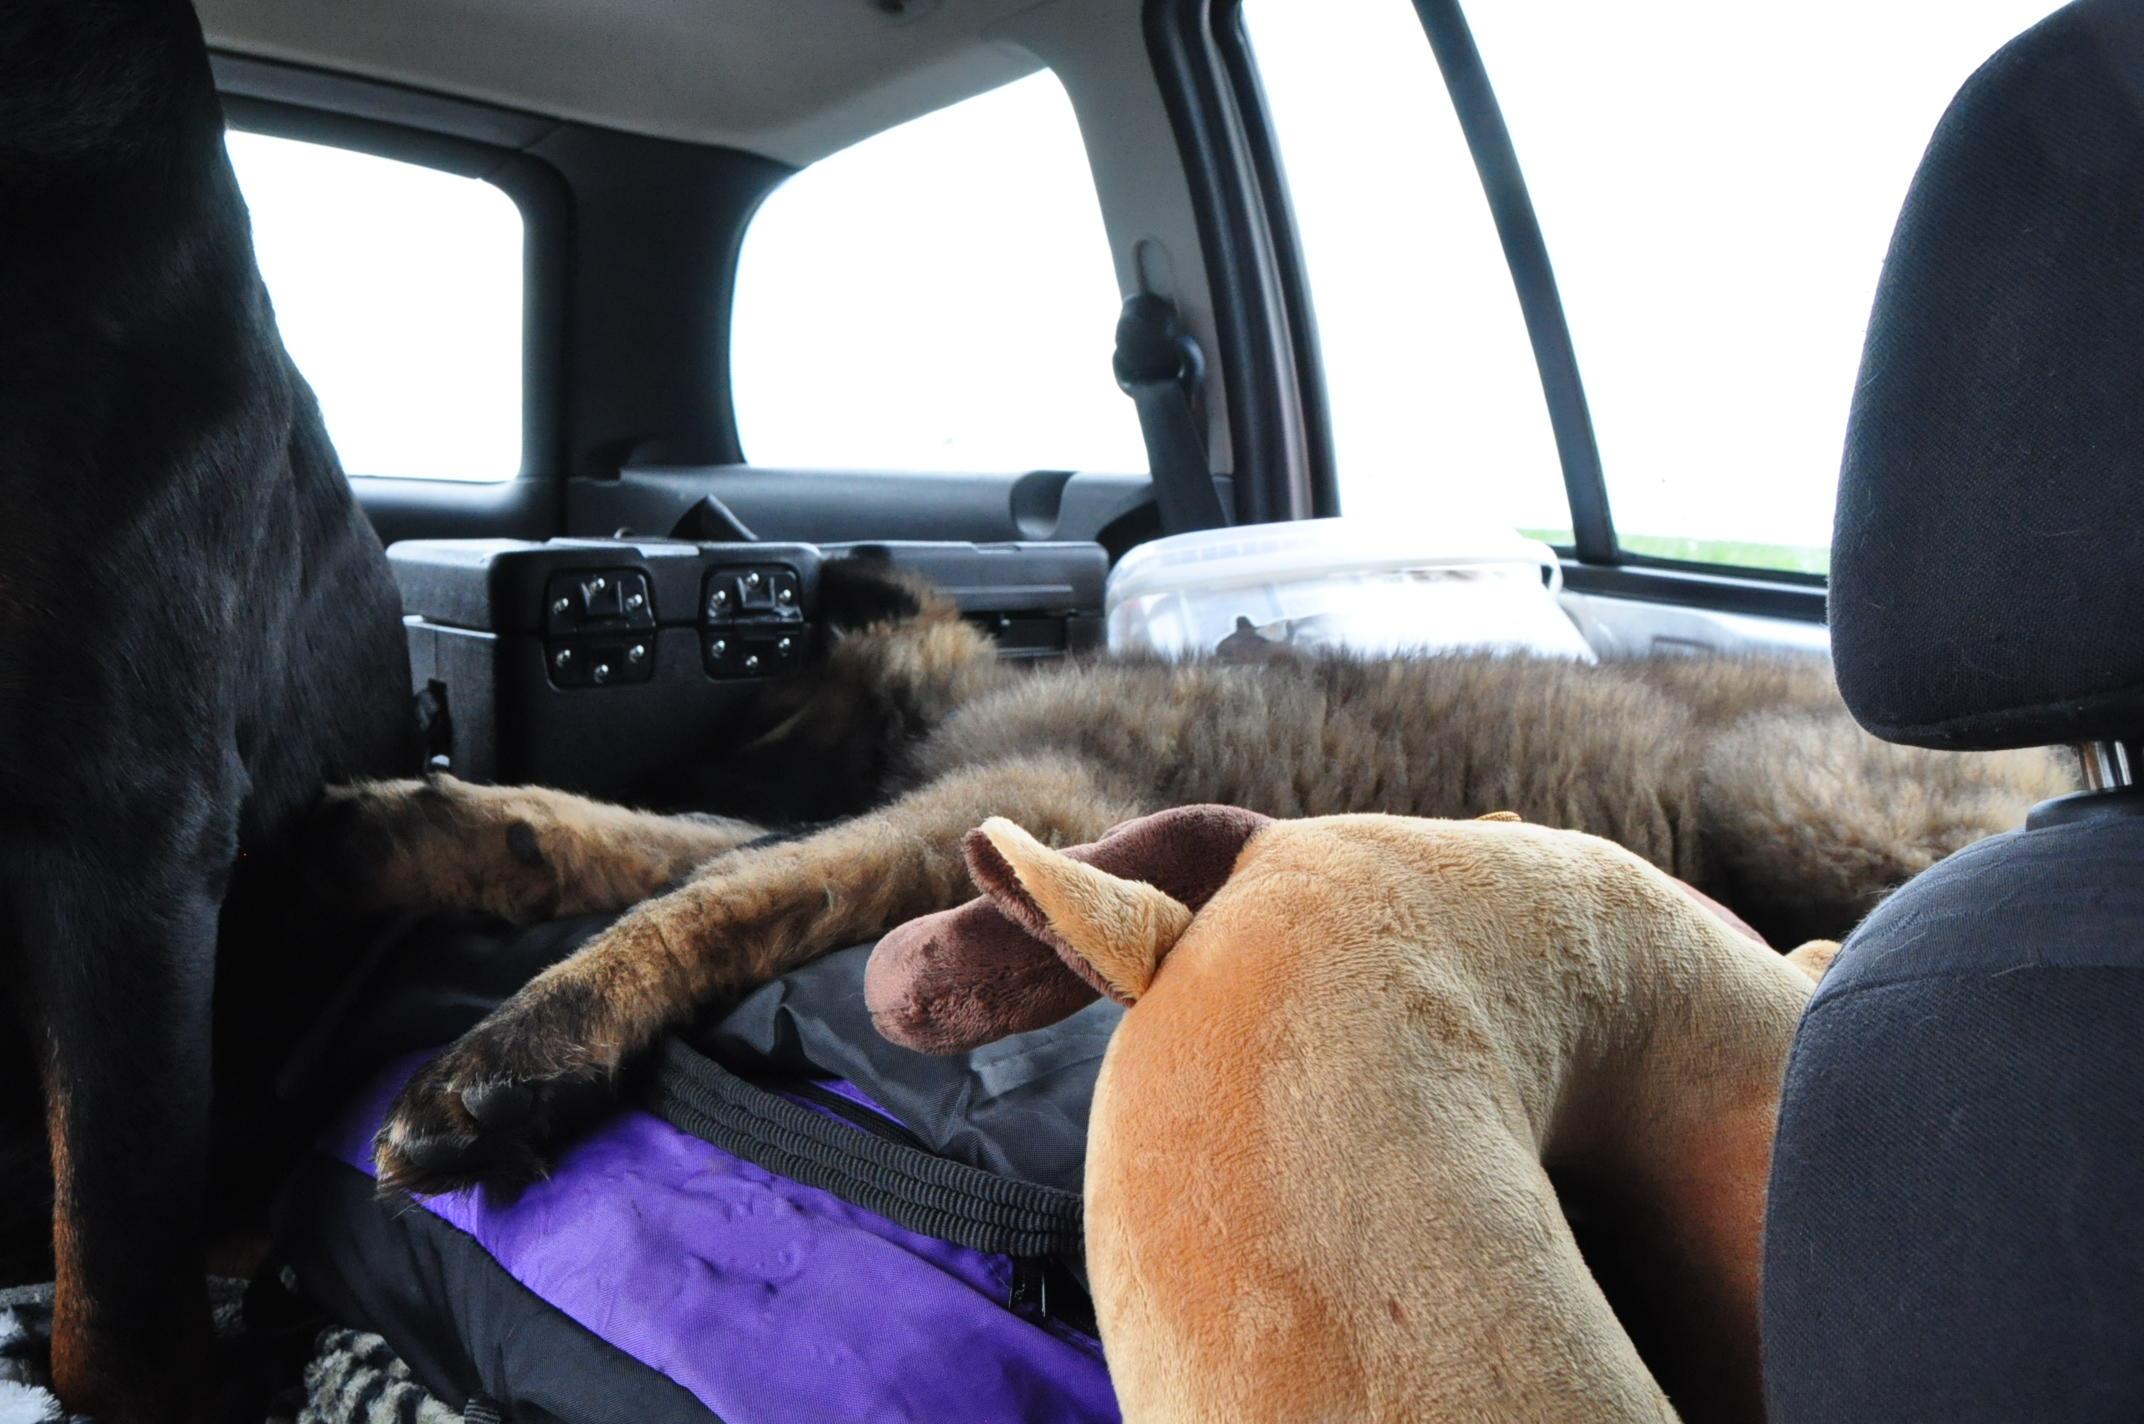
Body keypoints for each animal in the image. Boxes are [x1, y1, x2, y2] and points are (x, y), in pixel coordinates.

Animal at [314, 566, 2074, 1196]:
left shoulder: (1010, 805)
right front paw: (416, 826)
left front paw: (507, 1056)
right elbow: (604, 838)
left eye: (752, 689)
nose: (514, 701)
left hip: (1785, 796)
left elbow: (700, 893)